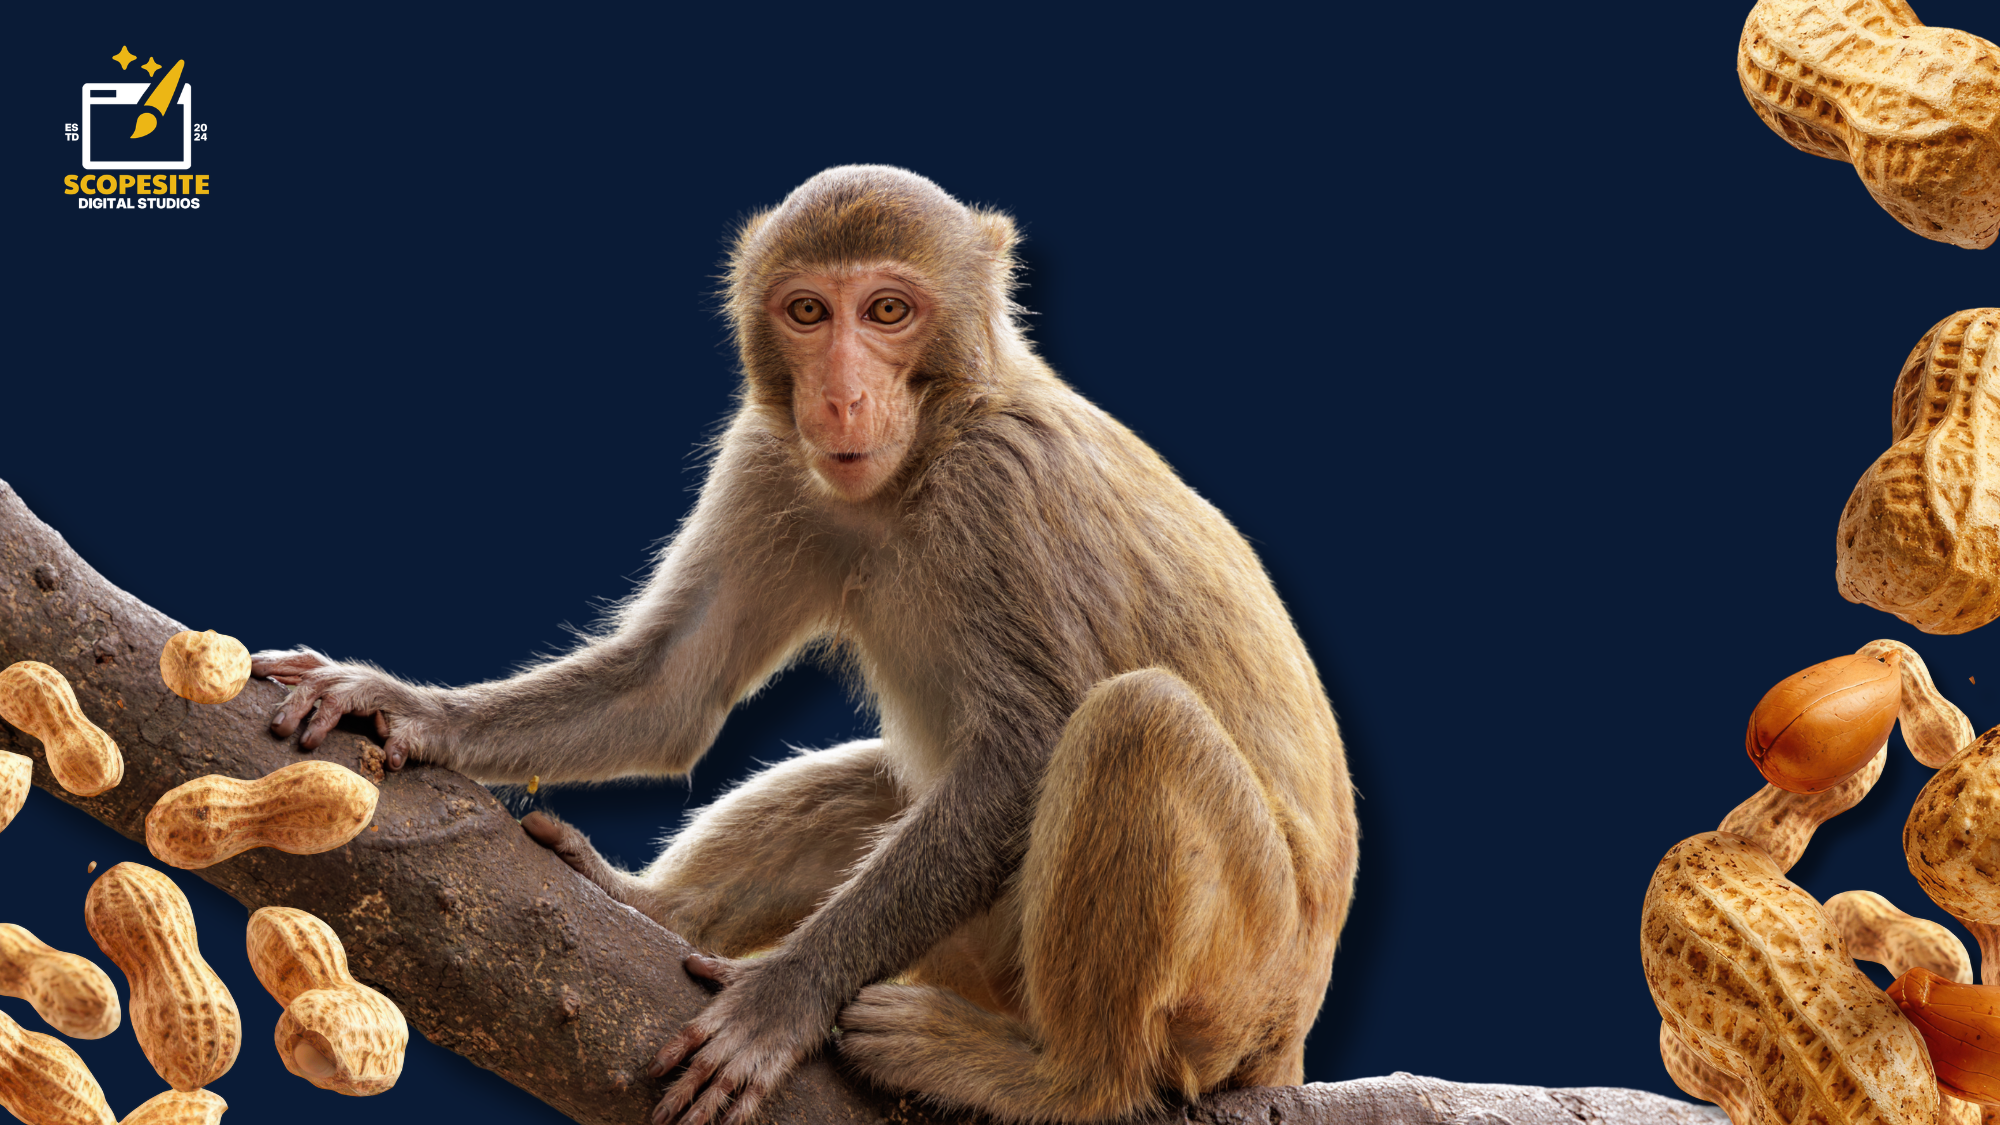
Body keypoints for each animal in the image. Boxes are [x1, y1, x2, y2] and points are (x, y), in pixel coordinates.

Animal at [252, 165, 1357, 1125]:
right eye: (808, 314)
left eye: (888, 312)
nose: (839, 395)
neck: (926, 452)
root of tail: (1290, 1038)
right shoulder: (770, 459)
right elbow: (670, 690)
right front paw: (400, 705)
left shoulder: (999, 487)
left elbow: (1026, 750)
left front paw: (783, 1000)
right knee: (885, 782)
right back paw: (650, 906)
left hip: (1234, 992)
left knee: (1134, 720)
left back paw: (1060, 1079)